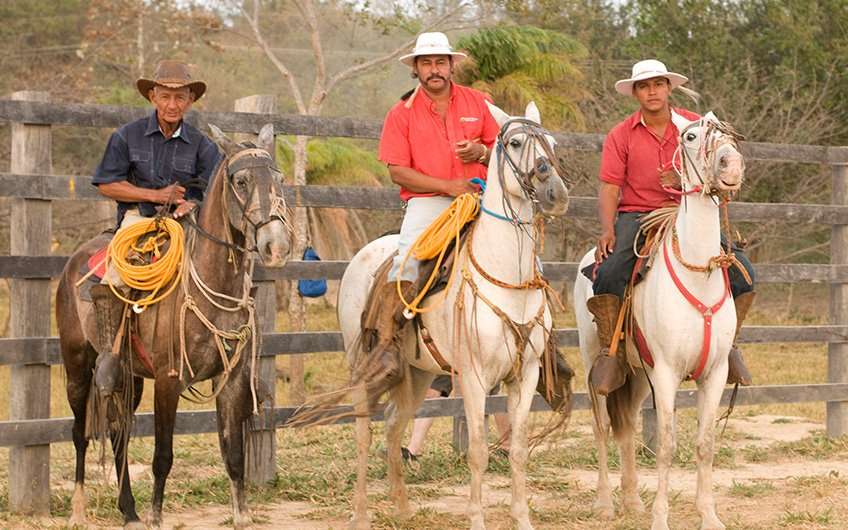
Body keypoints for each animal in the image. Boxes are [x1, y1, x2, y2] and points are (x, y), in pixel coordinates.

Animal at [55, 125, 292, 528]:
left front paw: (241, 514)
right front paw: (155, 515)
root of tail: (73, 262)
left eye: (278, 179)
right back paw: (78, 510)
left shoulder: (231, 380)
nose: (274, 245)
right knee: (79, 433)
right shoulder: (168, 380)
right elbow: (162, 455)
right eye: (241, 181)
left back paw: (128, 510)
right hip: (77, 366)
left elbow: (233, 452)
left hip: (129, 377)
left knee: (118, 432)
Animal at [338, 101, 568, 524]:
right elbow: (477, 451)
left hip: (416, 372)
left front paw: (522, 519)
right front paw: (476, 519)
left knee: (393, 426)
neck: (506, 277)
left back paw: (403, 508)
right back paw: (360, 514)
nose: (555, 193)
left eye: (552, 142)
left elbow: (517, 448)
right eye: (514, 143)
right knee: (364, 431)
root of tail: (364, 254)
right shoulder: (475, 377)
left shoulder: (525, 374)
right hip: (359, 360)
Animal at [572, 111, 744, 528]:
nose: (731, 165)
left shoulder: (714, 373)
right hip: (594, 363)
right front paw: (660, 517)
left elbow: (705, 444)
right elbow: (666, 446)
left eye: (731, 135)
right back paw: (605, 503)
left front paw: (708, 515)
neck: (698, 275)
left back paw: (632, 500)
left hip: (634, 375)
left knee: (627, 427)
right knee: (602, 427)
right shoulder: (666, 372)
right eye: (692, 136)